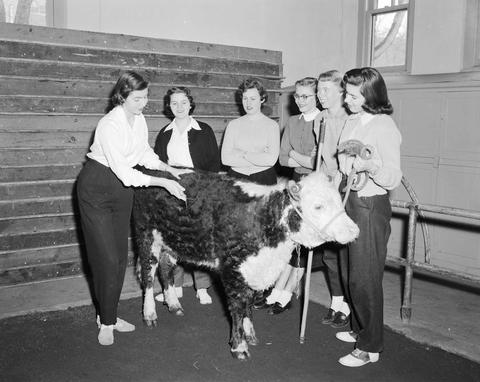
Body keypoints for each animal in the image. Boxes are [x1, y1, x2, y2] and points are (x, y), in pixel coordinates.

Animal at [133, 172, 358, 360]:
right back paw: (149, 314)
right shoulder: (232, 269)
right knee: (148, 275)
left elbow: (249, 303)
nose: (354, 230)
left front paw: (250, 334)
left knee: (166, 270)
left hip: (170, 244)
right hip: (146, 237)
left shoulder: (254, 269)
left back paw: (173, 304)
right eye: (318, 206)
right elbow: (238, 307)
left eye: (339, 201)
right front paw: (239, 346)